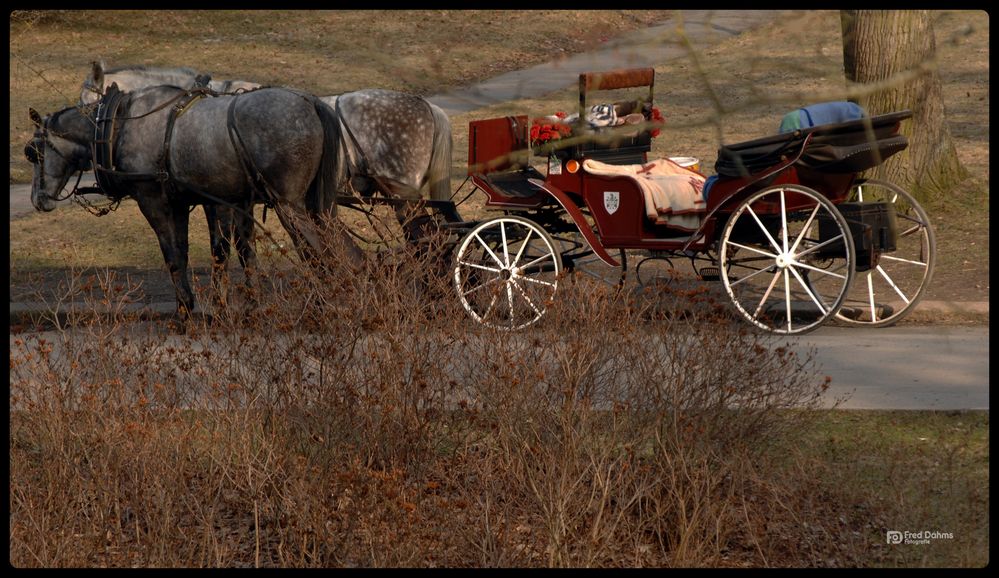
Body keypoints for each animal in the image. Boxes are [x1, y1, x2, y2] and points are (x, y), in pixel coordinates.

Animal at [26, 84, 344, 316]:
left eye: (33, 152)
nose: (37, 199)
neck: (116, 126)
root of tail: (309, 101)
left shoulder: (154, 200)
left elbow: (175, 256)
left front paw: (186, 311)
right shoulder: (190, 202)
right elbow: (214, 252)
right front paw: (218, 307)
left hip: (288, 204)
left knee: (316, 250)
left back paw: (323, 303)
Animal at [80, 59, 456, 280]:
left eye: (88, 105)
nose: (90, 157)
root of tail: (428, 106)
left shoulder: (220, 200)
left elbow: (225, 247)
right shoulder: (236, 199)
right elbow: (238, 246)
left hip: (402, 196)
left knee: (428, 240)